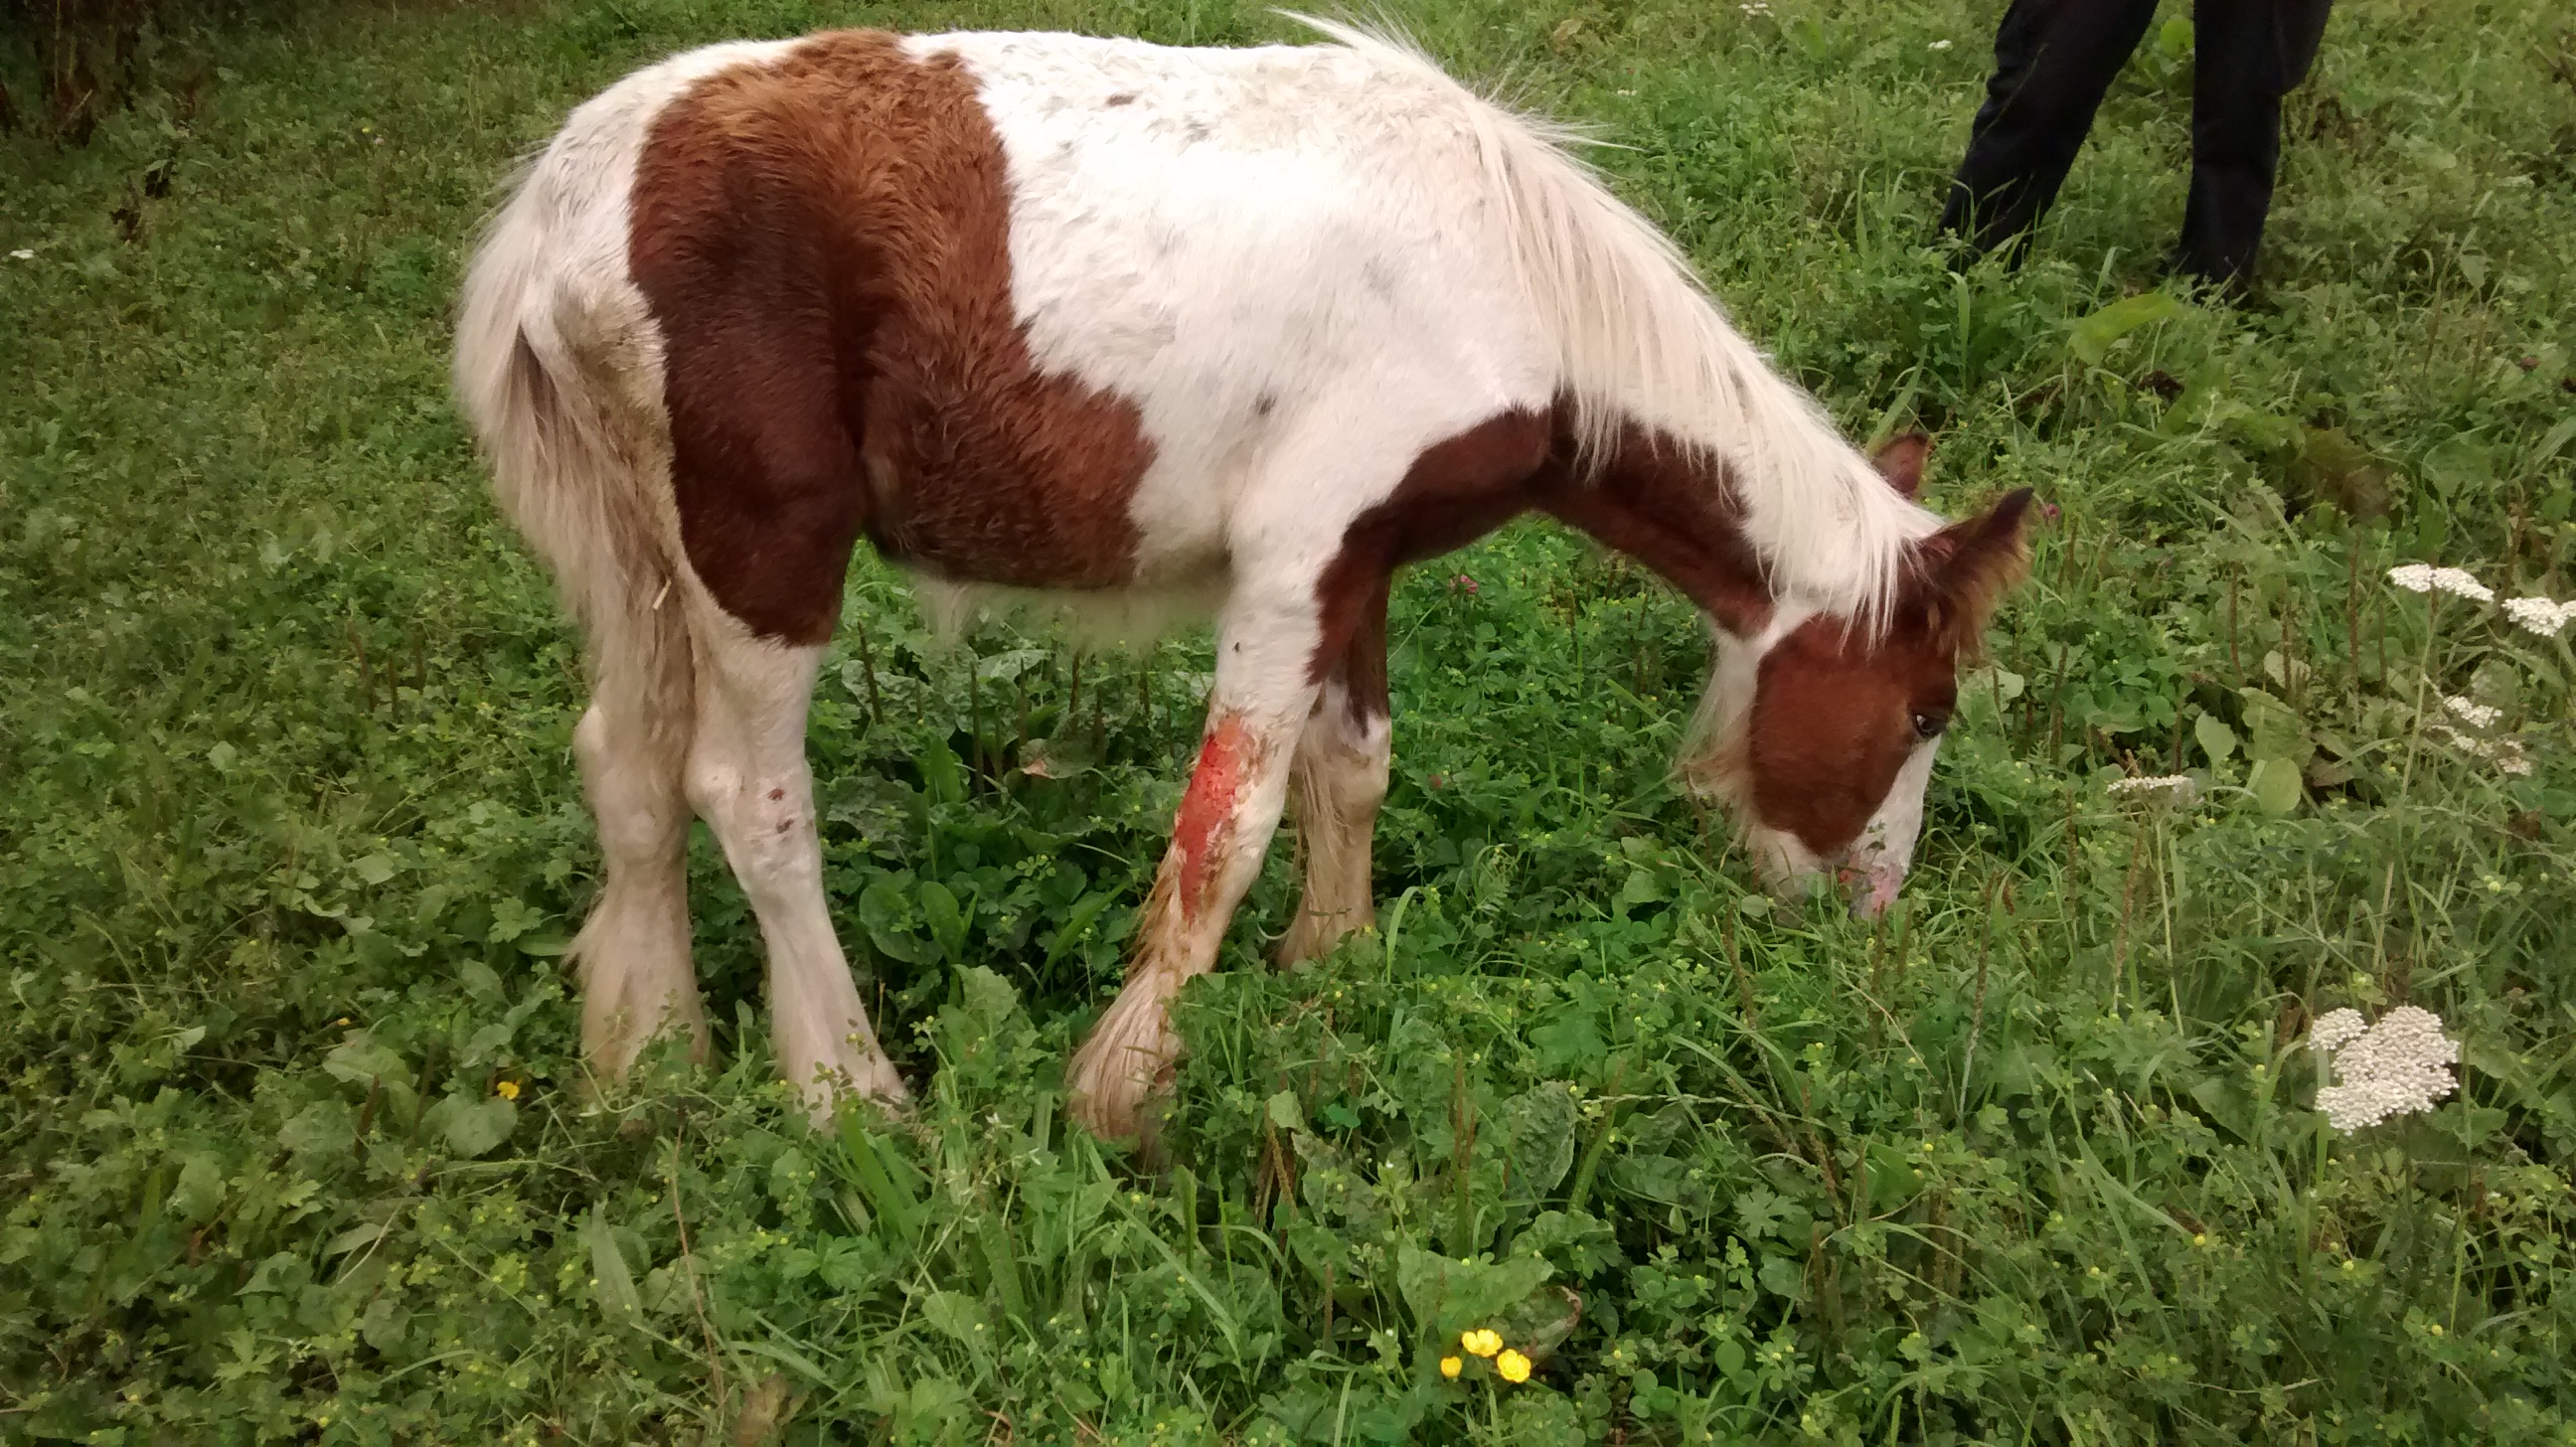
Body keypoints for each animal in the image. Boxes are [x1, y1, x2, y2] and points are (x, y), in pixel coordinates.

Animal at [453, 19, 2019, 1138]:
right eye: (1927, 712)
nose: (1870, 915)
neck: (1508, 277)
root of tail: (568, 198)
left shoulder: (1358, 563)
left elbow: (1355, 768)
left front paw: (1330, 969)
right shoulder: (1287, 573)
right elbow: (1228, 826)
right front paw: (1123, 1093)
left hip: (646, 551)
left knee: (627, 766)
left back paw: (649, 1056)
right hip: (765, 549)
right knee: (747, 797)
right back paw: (849, 1096)